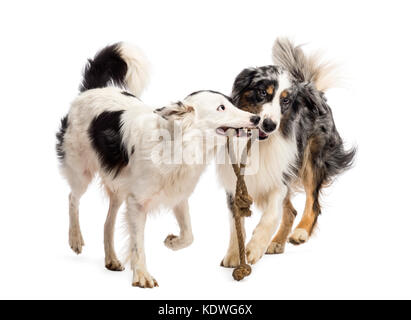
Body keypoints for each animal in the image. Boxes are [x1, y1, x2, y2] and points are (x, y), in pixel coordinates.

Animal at [56, 42, 260, 288]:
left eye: (232, 104)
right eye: (221, 108)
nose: (256, 119)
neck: (176, 145)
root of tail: (93, 89)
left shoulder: (178, 196)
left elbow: (189, 235)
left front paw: (172, 242)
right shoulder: (137, 203)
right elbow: (138, 244)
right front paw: (142, 275)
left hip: (118, 187)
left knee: (107, 223)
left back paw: (111, 259)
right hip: (80, 170)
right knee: (72, 198)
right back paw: (75, 238)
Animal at [219, 38, 358, 268]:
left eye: (285, 101)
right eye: (262, 93)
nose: (269, 125)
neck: (259, 144)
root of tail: (311, 88)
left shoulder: (279, 178)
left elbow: (269, 217)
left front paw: (254, 248)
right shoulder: (234, 180)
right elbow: (234, 222)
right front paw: (233, 254)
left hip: (312, 160)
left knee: (312, 203)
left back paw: (300, 232)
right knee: (291, 211)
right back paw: (277, 243)